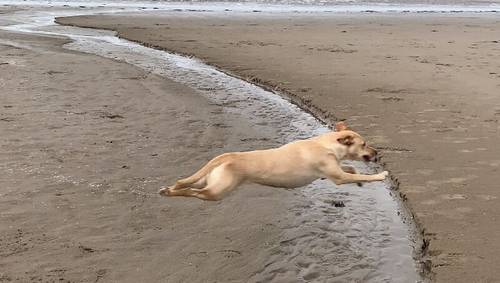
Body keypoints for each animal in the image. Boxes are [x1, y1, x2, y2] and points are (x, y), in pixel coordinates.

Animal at [159, 122, 386, 202]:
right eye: (364, 144)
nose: (377, 152)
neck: (327, 144)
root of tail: (227, 156)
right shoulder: (337, 177)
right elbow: (358, 174)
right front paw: (378, 175)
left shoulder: (334, 169)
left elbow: (350, 167)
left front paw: (358, 179)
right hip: (218, 191)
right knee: (193, 192)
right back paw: (172, 193)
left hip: (207, 180)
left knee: (185, 183)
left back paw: (168, 189)